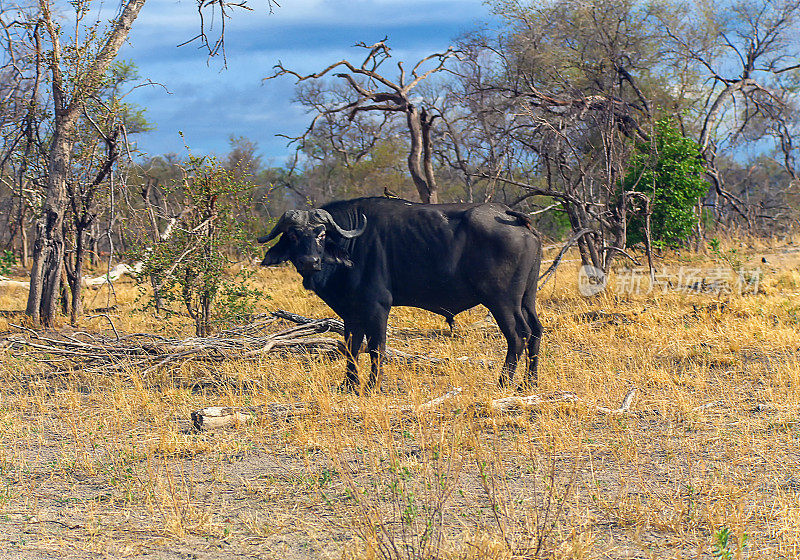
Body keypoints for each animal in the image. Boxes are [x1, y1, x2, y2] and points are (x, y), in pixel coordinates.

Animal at [260, 199, 544, 392]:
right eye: (293, 234)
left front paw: (372, 386)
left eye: (321, 234)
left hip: (501, 301)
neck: (352, 246)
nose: (310, 261)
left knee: (517, 336)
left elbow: (376, 347)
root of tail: (511, 216)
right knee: (536, 331)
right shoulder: (351, 313)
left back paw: (504, 382)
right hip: (527, 299)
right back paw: (528, 383)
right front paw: (349, 385)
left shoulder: (377, 307)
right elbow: (351, 347)